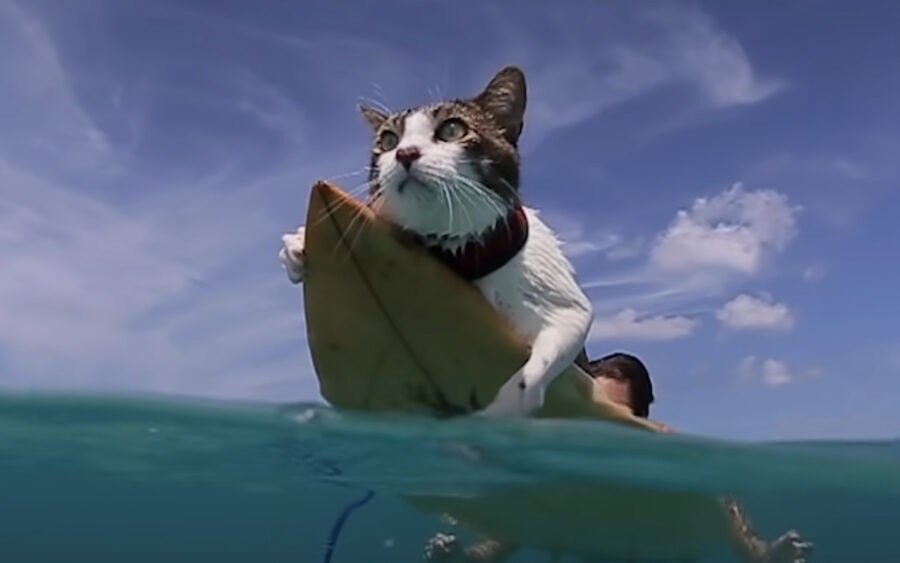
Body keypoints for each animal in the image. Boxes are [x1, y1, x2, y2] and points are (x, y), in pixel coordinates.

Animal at [278, 67, 596, 418]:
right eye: (388, 140)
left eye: (452, 129)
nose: (405, 153)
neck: (458, 252)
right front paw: (298, 244)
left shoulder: (562, 303)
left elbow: (553, 344)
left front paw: (505, 406)